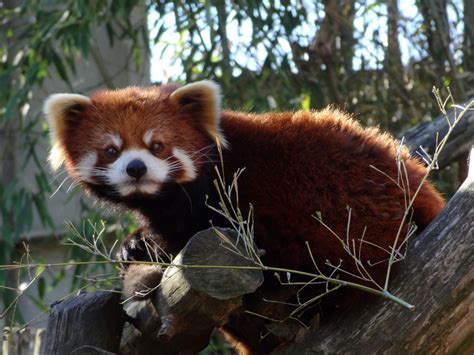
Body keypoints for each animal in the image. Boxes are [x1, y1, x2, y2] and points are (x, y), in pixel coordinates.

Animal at [44, 82, 444, 354]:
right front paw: (136, 246)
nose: (136, 168)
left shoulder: (224, 192)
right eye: (111, 150)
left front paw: (151, 250)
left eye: (157, 145)